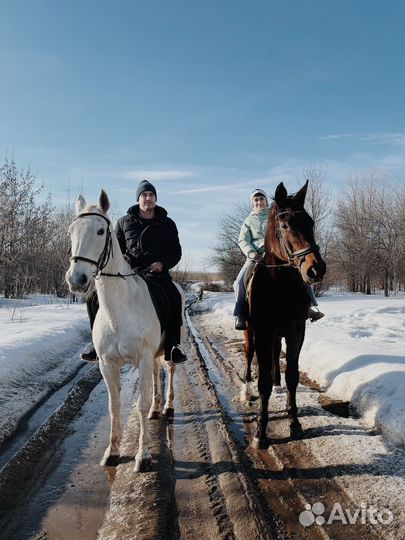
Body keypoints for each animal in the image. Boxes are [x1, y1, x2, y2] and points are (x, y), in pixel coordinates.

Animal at [65, 190, 183, 472]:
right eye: (71, 231)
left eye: (100, 231)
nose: (76, 280)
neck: (119, 310)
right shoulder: (107, 364)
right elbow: (114, 405)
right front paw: (112, 452)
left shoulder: (141, 359)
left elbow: (139, 404)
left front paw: (143, 456)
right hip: (152, 355)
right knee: (156, 374)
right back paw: (156, 409)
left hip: (169, 350)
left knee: (170, 369)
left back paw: (167, 406)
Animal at [243, 180, 326, 448]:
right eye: (285, 225)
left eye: (311, 222)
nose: (316, 269)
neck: (280, 284)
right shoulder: (263, 332)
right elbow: (263, 384)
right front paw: (260, 432)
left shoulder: (295, 331)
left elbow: (292, 375)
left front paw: (294, 422)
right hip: (250, 333)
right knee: (249, 358)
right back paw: (246, 392)